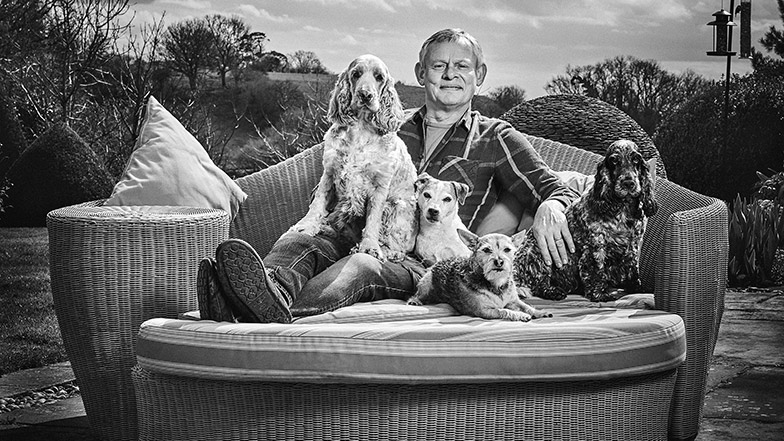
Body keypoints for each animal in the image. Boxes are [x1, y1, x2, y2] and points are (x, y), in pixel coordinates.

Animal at [288, 54, 420, 262]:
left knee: (398, 249)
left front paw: (369, 247)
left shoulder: (379, 187)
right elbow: (318, 202)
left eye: (379, 77)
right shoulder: (329, 173)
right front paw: (306, 225)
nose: (365, 95)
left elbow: (373, 219)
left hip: (396, 207)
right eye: (356, 74)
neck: (361, 128)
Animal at [410, 230, 552, 320]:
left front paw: (539, 312)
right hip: (426, 283)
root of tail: (439, 262)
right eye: (487, 250)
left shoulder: (514, 301)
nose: (499, 261)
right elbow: (504, 310)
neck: (496, 283)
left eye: (507, 249)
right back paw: (415, 301)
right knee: (418, 294)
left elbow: (527, 307)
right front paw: (520, 315)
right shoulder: (484, 311)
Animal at [512, 139, 660, 300]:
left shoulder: (632, 246)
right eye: (614, 161)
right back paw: (554, 291)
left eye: (636, 160)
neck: (623, 208)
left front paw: (638, 288)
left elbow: (633, 271)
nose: (628, 183)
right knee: (539, 283)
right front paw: (599, 293)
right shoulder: (596, 245)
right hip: (539, 251)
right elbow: (596, 270)